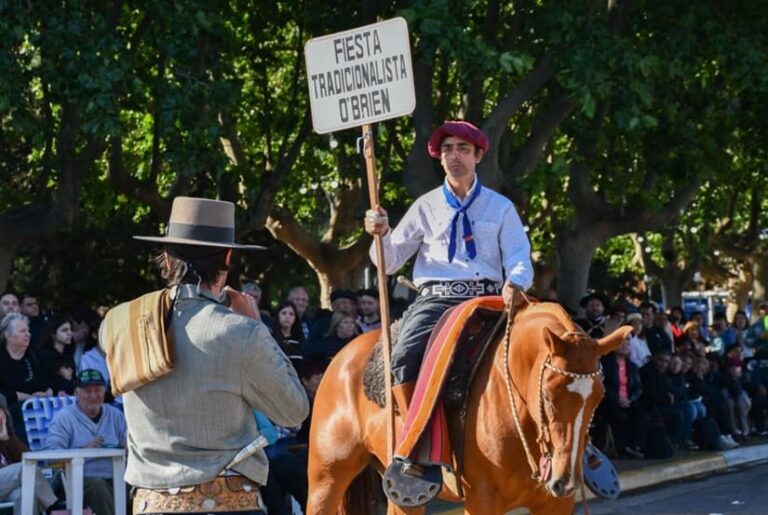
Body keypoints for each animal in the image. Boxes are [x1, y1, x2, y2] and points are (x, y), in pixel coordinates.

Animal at [304, 302, 632, 515]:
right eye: (549, 396)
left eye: (598, 397)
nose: (565, 480)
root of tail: (342, 356)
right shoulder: (482, 501)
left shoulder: (556, 504)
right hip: (326, 480)